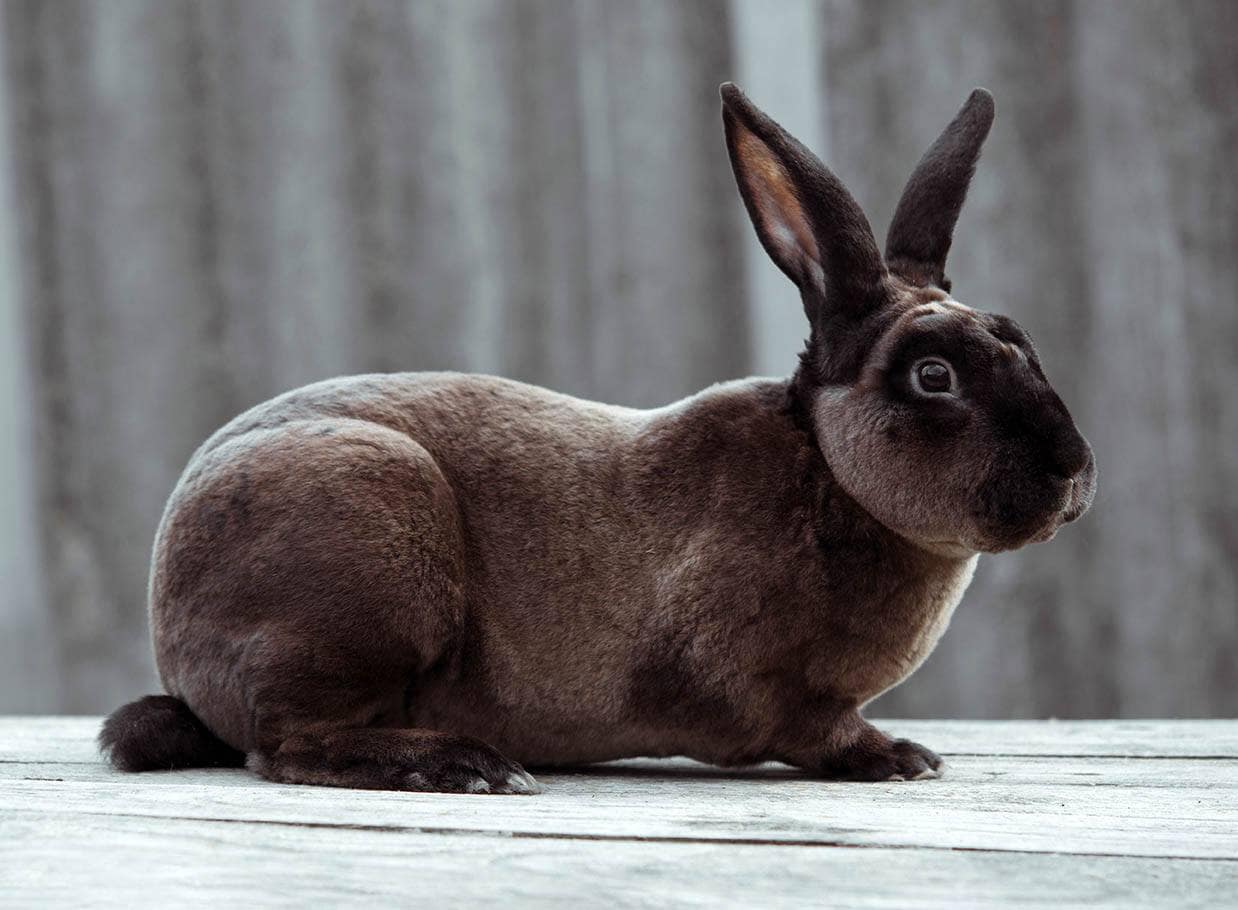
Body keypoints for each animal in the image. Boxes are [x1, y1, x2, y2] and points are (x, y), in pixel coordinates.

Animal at [100, 83, 1095, 793]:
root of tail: (168, 616)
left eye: (1020, 339)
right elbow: (814, 730)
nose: (1076, 475)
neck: (829, 473)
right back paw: (463, 765)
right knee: (288, 742)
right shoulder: (772, 690)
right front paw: (896, 757)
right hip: (364, 552)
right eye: (934, 377)